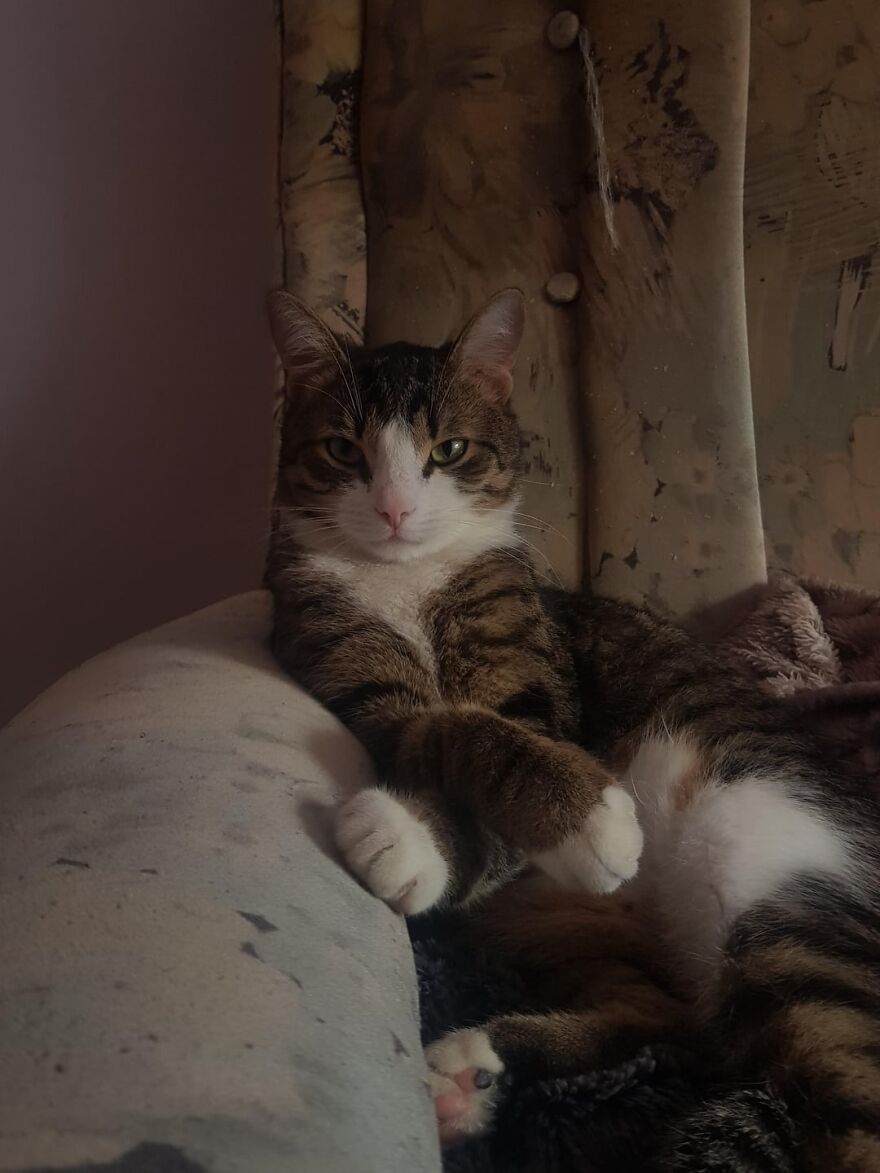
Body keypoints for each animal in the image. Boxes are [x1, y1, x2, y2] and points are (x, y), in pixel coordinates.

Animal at [267, 288, 880, 1168]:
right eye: (343, 449)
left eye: (448, 450)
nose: (393, 508)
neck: (406, 580)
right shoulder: (355, 682)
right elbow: (443, 727)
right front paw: (422, 838)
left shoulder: (540, 692)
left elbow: (494, 731)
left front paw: (569, 820)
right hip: (571, 929)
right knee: (666, 1018)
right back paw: (473, 1070)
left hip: (773, 886)